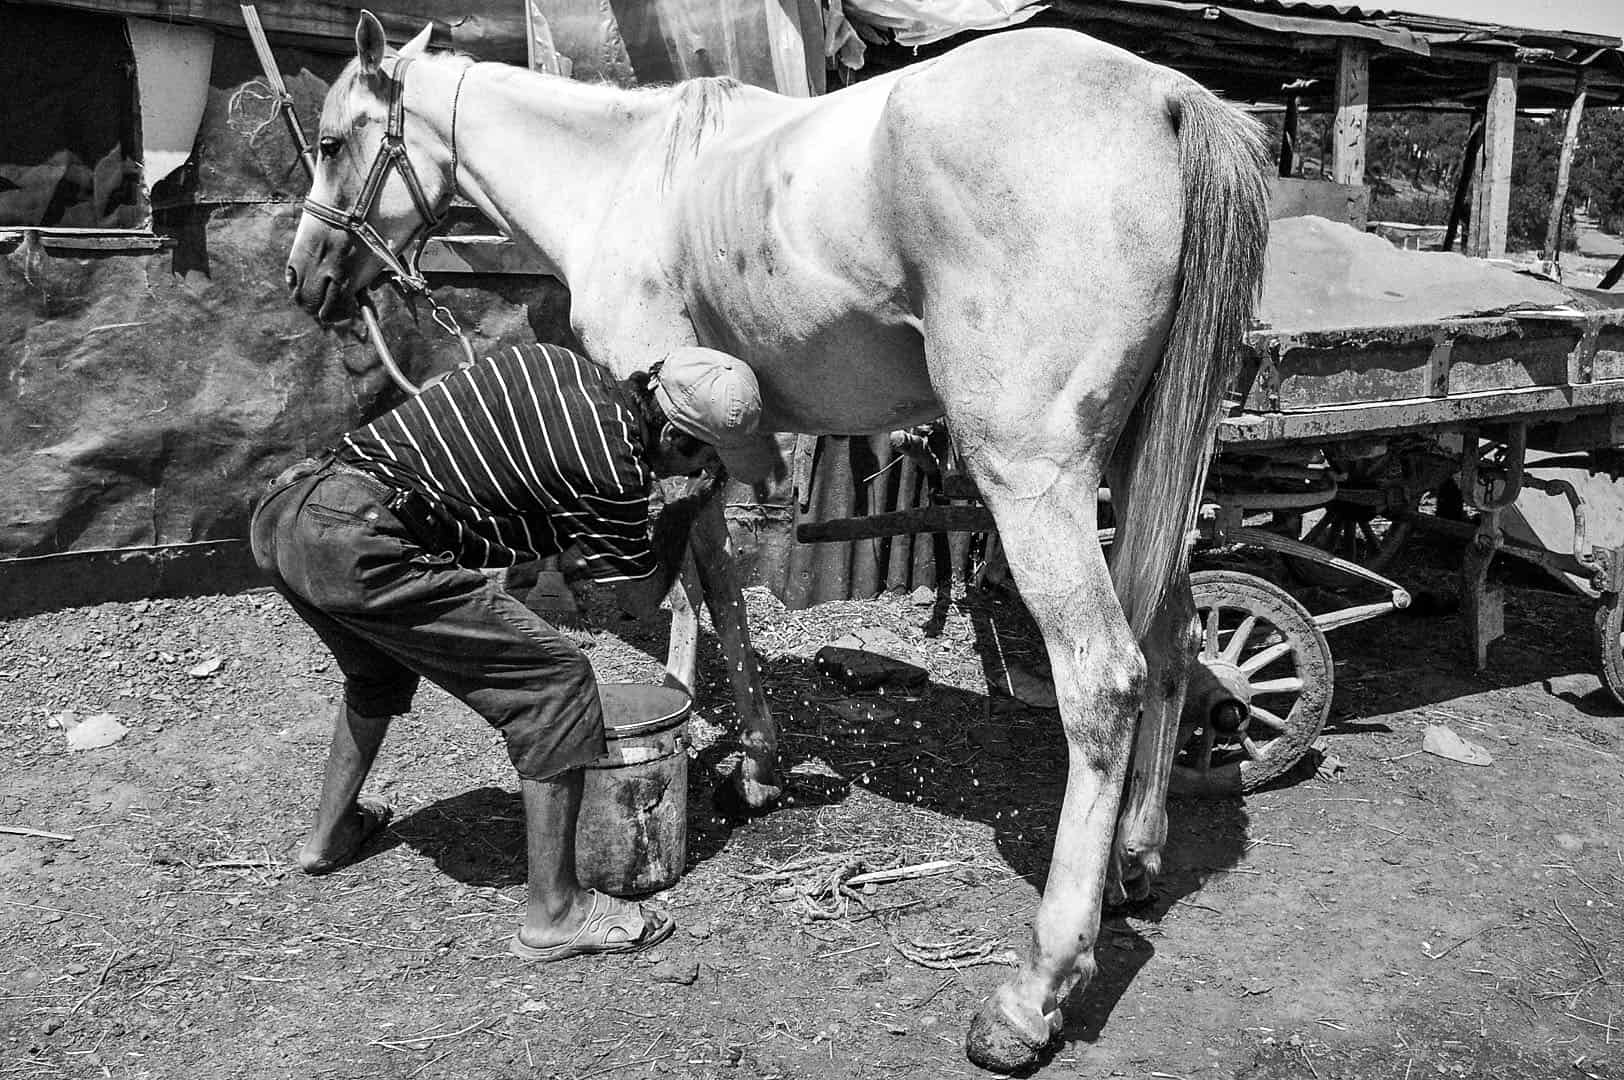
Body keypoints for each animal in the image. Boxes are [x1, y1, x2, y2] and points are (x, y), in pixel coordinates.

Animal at [285, 13, 1269, 1071]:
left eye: (333, 142)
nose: (303, 278)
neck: (623, 172)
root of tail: (1164, 96)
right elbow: (713, 584)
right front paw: (733, 747)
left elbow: (707, 587)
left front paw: (750, 762)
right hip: (1149, 469)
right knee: (1173, 644)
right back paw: (1135, 859)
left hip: (1038, 482)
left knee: (1105, 680)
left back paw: (1031, 995)